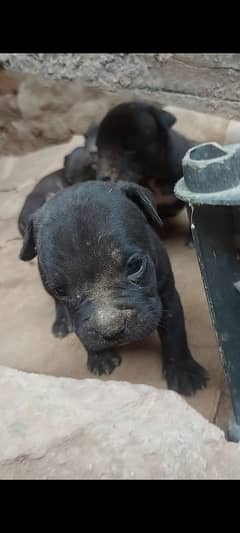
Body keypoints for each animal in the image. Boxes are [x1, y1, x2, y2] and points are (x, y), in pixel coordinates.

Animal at [19, 180, 207, 394]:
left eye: (135, 266)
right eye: (60, 290)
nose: (110, 329)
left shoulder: (167, 295)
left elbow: (174, 332)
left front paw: (183, 371)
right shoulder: (74, 314)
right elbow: (81, 330)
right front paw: (100, 356)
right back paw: (61, 321)